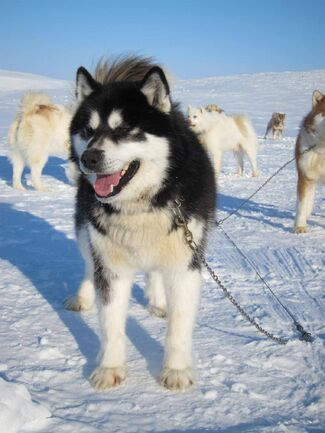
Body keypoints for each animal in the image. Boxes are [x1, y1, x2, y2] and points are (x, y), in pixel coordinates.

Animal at [65, 55, 215, 390]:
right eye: (88, 130)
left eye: (124, 129)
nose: (89, 158)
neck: (143, 203)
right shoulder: (110, 266)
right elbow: (110, 323)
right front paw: (109, 368)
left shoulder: (185, 263)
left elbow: (179, 325)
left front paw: (176, 370)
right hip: (85, 232)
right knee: (87, 264)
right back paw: (82, 297)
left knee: (155, 272)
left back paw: (158, 301)